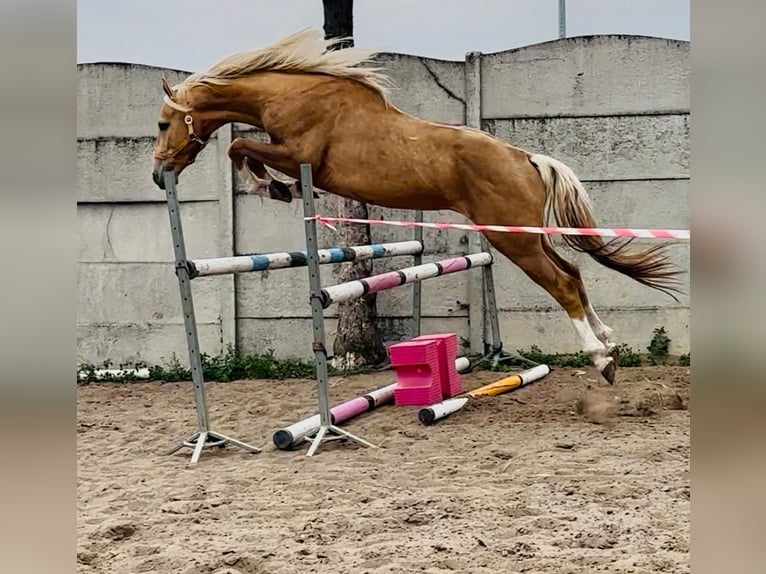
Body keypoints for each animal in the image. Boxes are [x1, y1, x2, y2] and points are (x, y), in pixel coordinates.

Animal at [151, 28, 684, 384]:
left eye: (161, 124)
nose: (158, 175)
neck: (296, 93)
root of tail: (526, 158)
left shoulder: (298, 155)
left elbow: (240, 148)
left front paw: (277, 188)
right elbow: (241, 148)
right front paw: (280, 189)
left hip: (510, 238)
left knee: (563, 284)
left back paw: (602, 359)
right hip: (522, 236)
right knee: (573, 273)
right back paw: (609, 341)